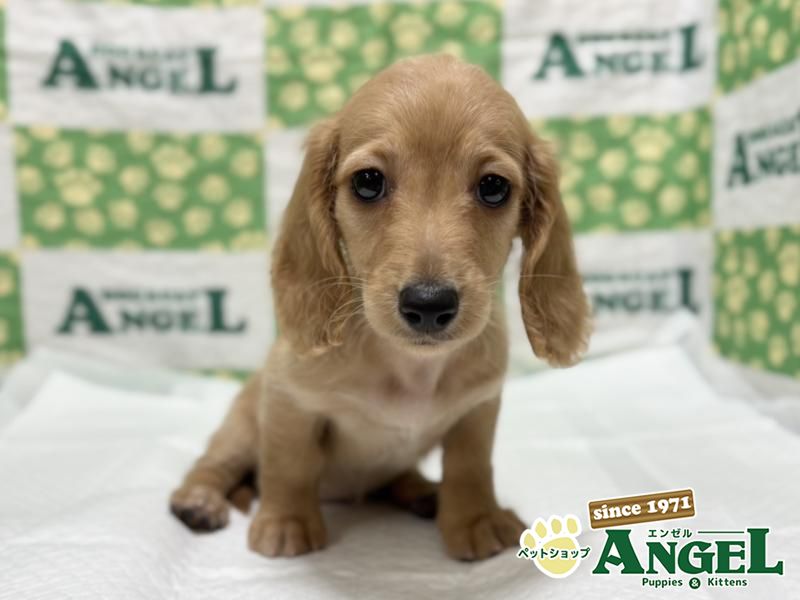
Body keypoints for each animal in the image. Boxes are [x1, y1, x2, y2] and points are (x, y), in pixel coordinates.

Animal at [170, 54, 591, 561]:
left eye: (493, 187)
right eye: (368, 182)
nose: (428, 304)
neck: (409, 365)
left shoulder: (477, 409)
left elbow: (470, 467)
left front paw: (475, 519)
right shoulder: (291, 402)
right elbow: (289, 465)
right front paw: (287, 521)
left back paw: (422, 492)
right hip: (239, 428)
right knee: (214, 463)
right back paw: (199, 500)